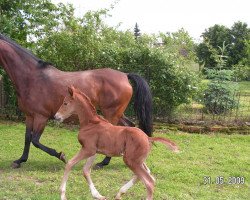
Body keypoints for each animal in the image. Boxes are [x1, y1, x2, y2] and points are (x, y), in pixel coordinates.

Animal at [0, 33, 152, 168]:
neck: (32, 78)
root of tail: (125, 75)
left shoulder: (41, 117)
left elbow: (35, 141)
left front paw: (61, 155)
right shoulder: (29, 116)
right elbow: (27, 138)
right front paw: (20, 160)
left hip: (111, 113)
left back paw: (103, 163)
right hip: (117, 113)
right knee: (130, 126)